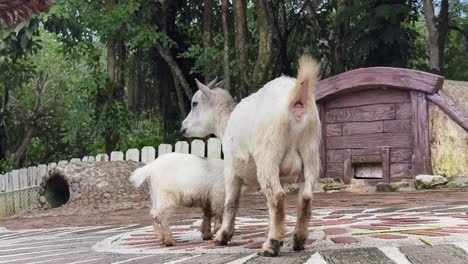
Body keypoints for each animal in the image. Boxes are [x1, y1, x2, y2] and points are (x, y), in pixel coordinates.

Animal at [181, 55, 324, 256]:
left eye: (195, 103)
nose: (183, 127)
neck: (226, 123)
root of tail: (297, 97)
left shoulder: (230, 168)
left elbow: (231, 202)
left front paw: (223, 236)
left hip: (268, 154)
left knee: (277, 196)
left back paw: (271, 245)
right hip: (311, 152)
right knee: (305, 196)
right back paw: (298, 240)